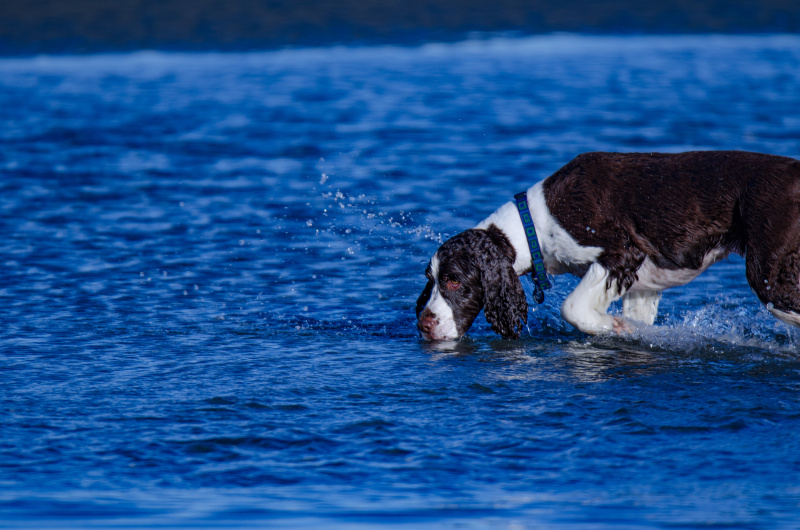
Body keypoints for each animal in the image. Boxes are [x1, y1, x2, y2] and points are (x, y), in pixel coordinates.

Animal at [416, 150, 800, 338]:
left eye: (454, 280)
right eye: (430, 279)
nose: (423, 325)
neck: (535, 225)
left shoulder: (621, 254)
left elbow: (571, 308)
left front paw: (612, 326)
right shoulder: (643, 287)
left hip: (770, 276)